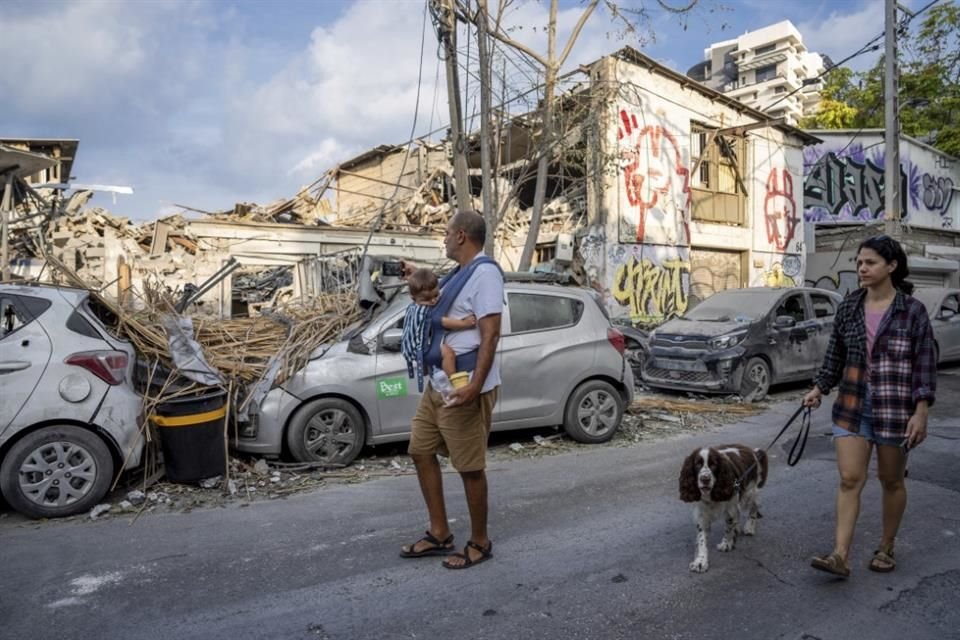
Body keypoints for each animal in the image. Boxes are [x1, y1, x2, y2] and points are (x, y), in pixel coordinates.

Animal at [680, 444, 768, 576]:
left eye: (713, 464)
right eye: (697, 464)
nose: (705, 479)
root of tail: (753, 451)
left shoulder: (730, 507)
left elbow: (728, 527)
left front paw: (726, 544)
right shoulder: (702, 514)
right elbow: (701, 539)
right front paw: (700, 562)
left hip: (750, 492)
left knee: (753, 508)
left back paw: (749, 527)